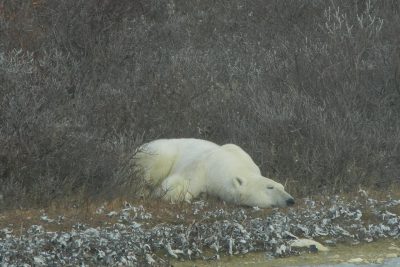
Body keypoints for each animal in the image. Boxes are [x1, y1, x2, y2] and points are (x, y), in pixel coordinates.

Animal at [134, 139, 294, 208]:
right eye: (270, 187)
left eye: (283, 187)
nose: (290, 200)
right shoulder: (202, 166)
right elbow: (180, 184)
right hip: (153, 154)